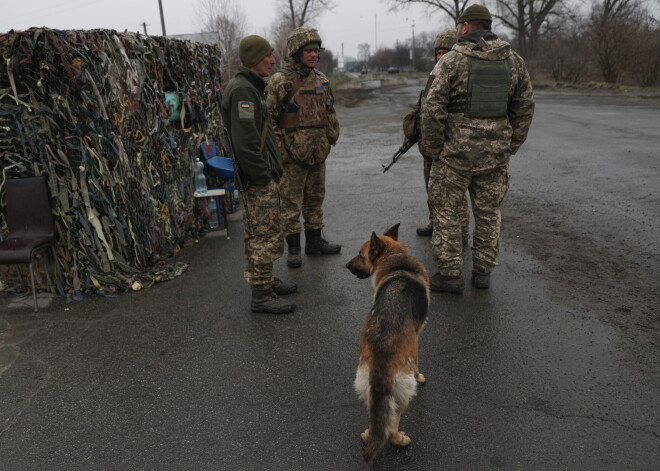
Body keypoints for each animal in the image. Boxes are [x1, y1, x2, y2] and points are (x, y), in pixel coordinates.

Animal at [346, 225, 434, 464]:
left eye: (360, 255)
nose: (346, 265)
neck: (396, 261)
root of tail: (382, 350)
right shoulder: (418, 335)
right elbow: (418, 362)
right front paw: (420, 377)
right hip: (402, 392)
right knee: (391, 425)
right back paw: (399, 440)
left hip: (365, 386)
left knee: (378, 421)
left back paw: (368, 435)